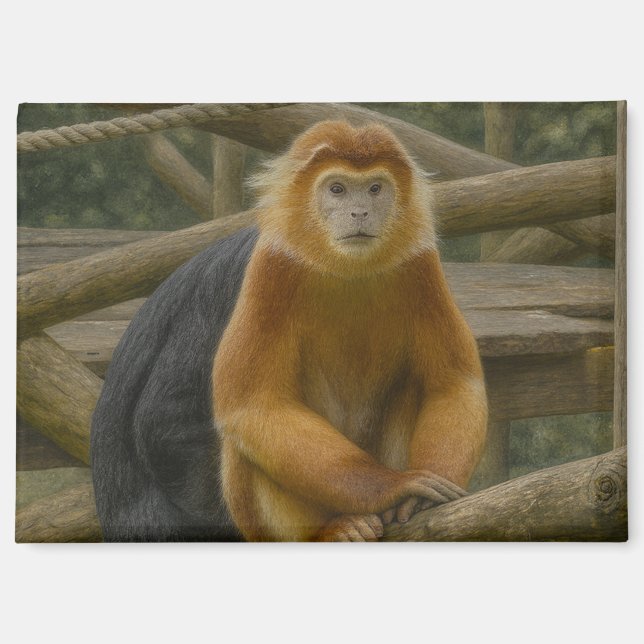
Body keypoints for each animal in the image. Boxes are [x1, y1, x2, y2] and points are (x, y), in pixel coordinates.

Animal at [90, 120, 487, 542]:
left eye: (375, 189)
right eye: (337, 189)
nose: (360, 212)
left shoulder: (419, 263)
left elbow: (454, 384)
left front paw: (419, 497)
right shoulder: (270, 267)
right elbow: (238, 409)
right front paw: (396, 487)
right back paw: (331, 529)